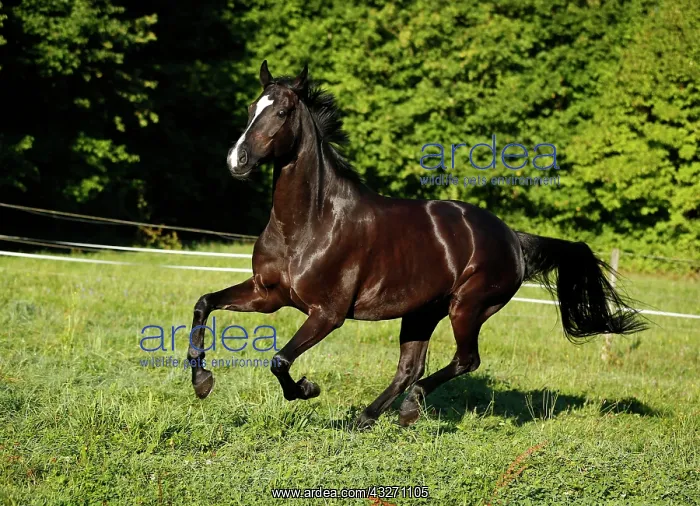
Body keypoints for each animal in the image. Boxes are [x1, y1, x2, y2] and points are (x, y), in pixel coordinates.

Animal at [187, 61, 645, 429]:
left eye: (281, 112)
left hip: (468, 307)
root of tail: (512, 237)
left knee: (464, 360)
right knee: (409, 367)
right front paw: (202, 381)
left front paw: (307, 388)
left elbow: (280, 360)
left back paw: (407, 409)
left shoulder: (327, 314)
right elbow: (205, 303)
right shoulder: (269, 295)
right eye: (252, 108)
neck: (308, 224)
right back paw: (366, 418)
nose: (237, 160)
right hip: (422, 311)